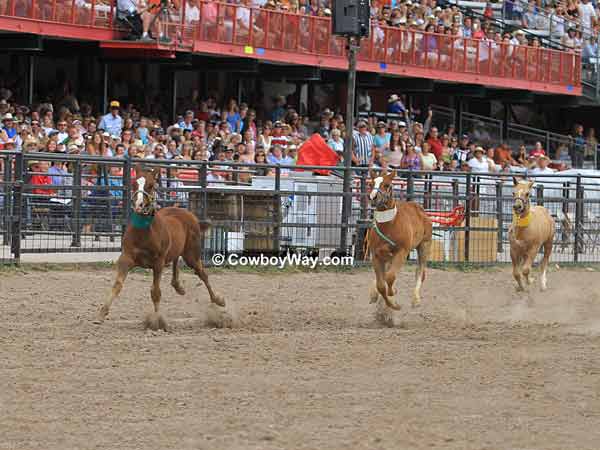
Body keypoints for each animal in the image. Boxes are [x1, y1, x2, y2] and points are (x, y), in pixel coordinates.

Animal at [92, 165, 226, 330]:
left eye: (150, 185)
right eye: (134, 184)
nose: (139, 205)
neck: (143, 232)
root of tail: (190, 215)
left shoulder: (158, 263)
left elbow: (155, 292)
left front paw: (157, 320)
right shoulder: (126, 258)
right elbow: (118, 285)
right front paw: (101, 315)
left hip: (192, 255)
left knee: (203, 274)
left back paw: (218, 300)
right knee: (176, 259)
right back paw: (178, 286)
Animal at [364, 167, 434, 326]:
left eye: (387, 185)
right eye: (371, 183)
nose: (373, 197)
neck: (389, 226)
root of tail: (419, 209)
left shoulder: (401, 252)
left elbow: (389, 278)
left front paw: (393, 299)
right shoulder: (376, 255)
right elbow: (381, 285)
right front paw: (390, 303)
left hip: (424, 245)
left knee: (420, 271)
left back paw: (415, 299)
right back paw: (374, 295)